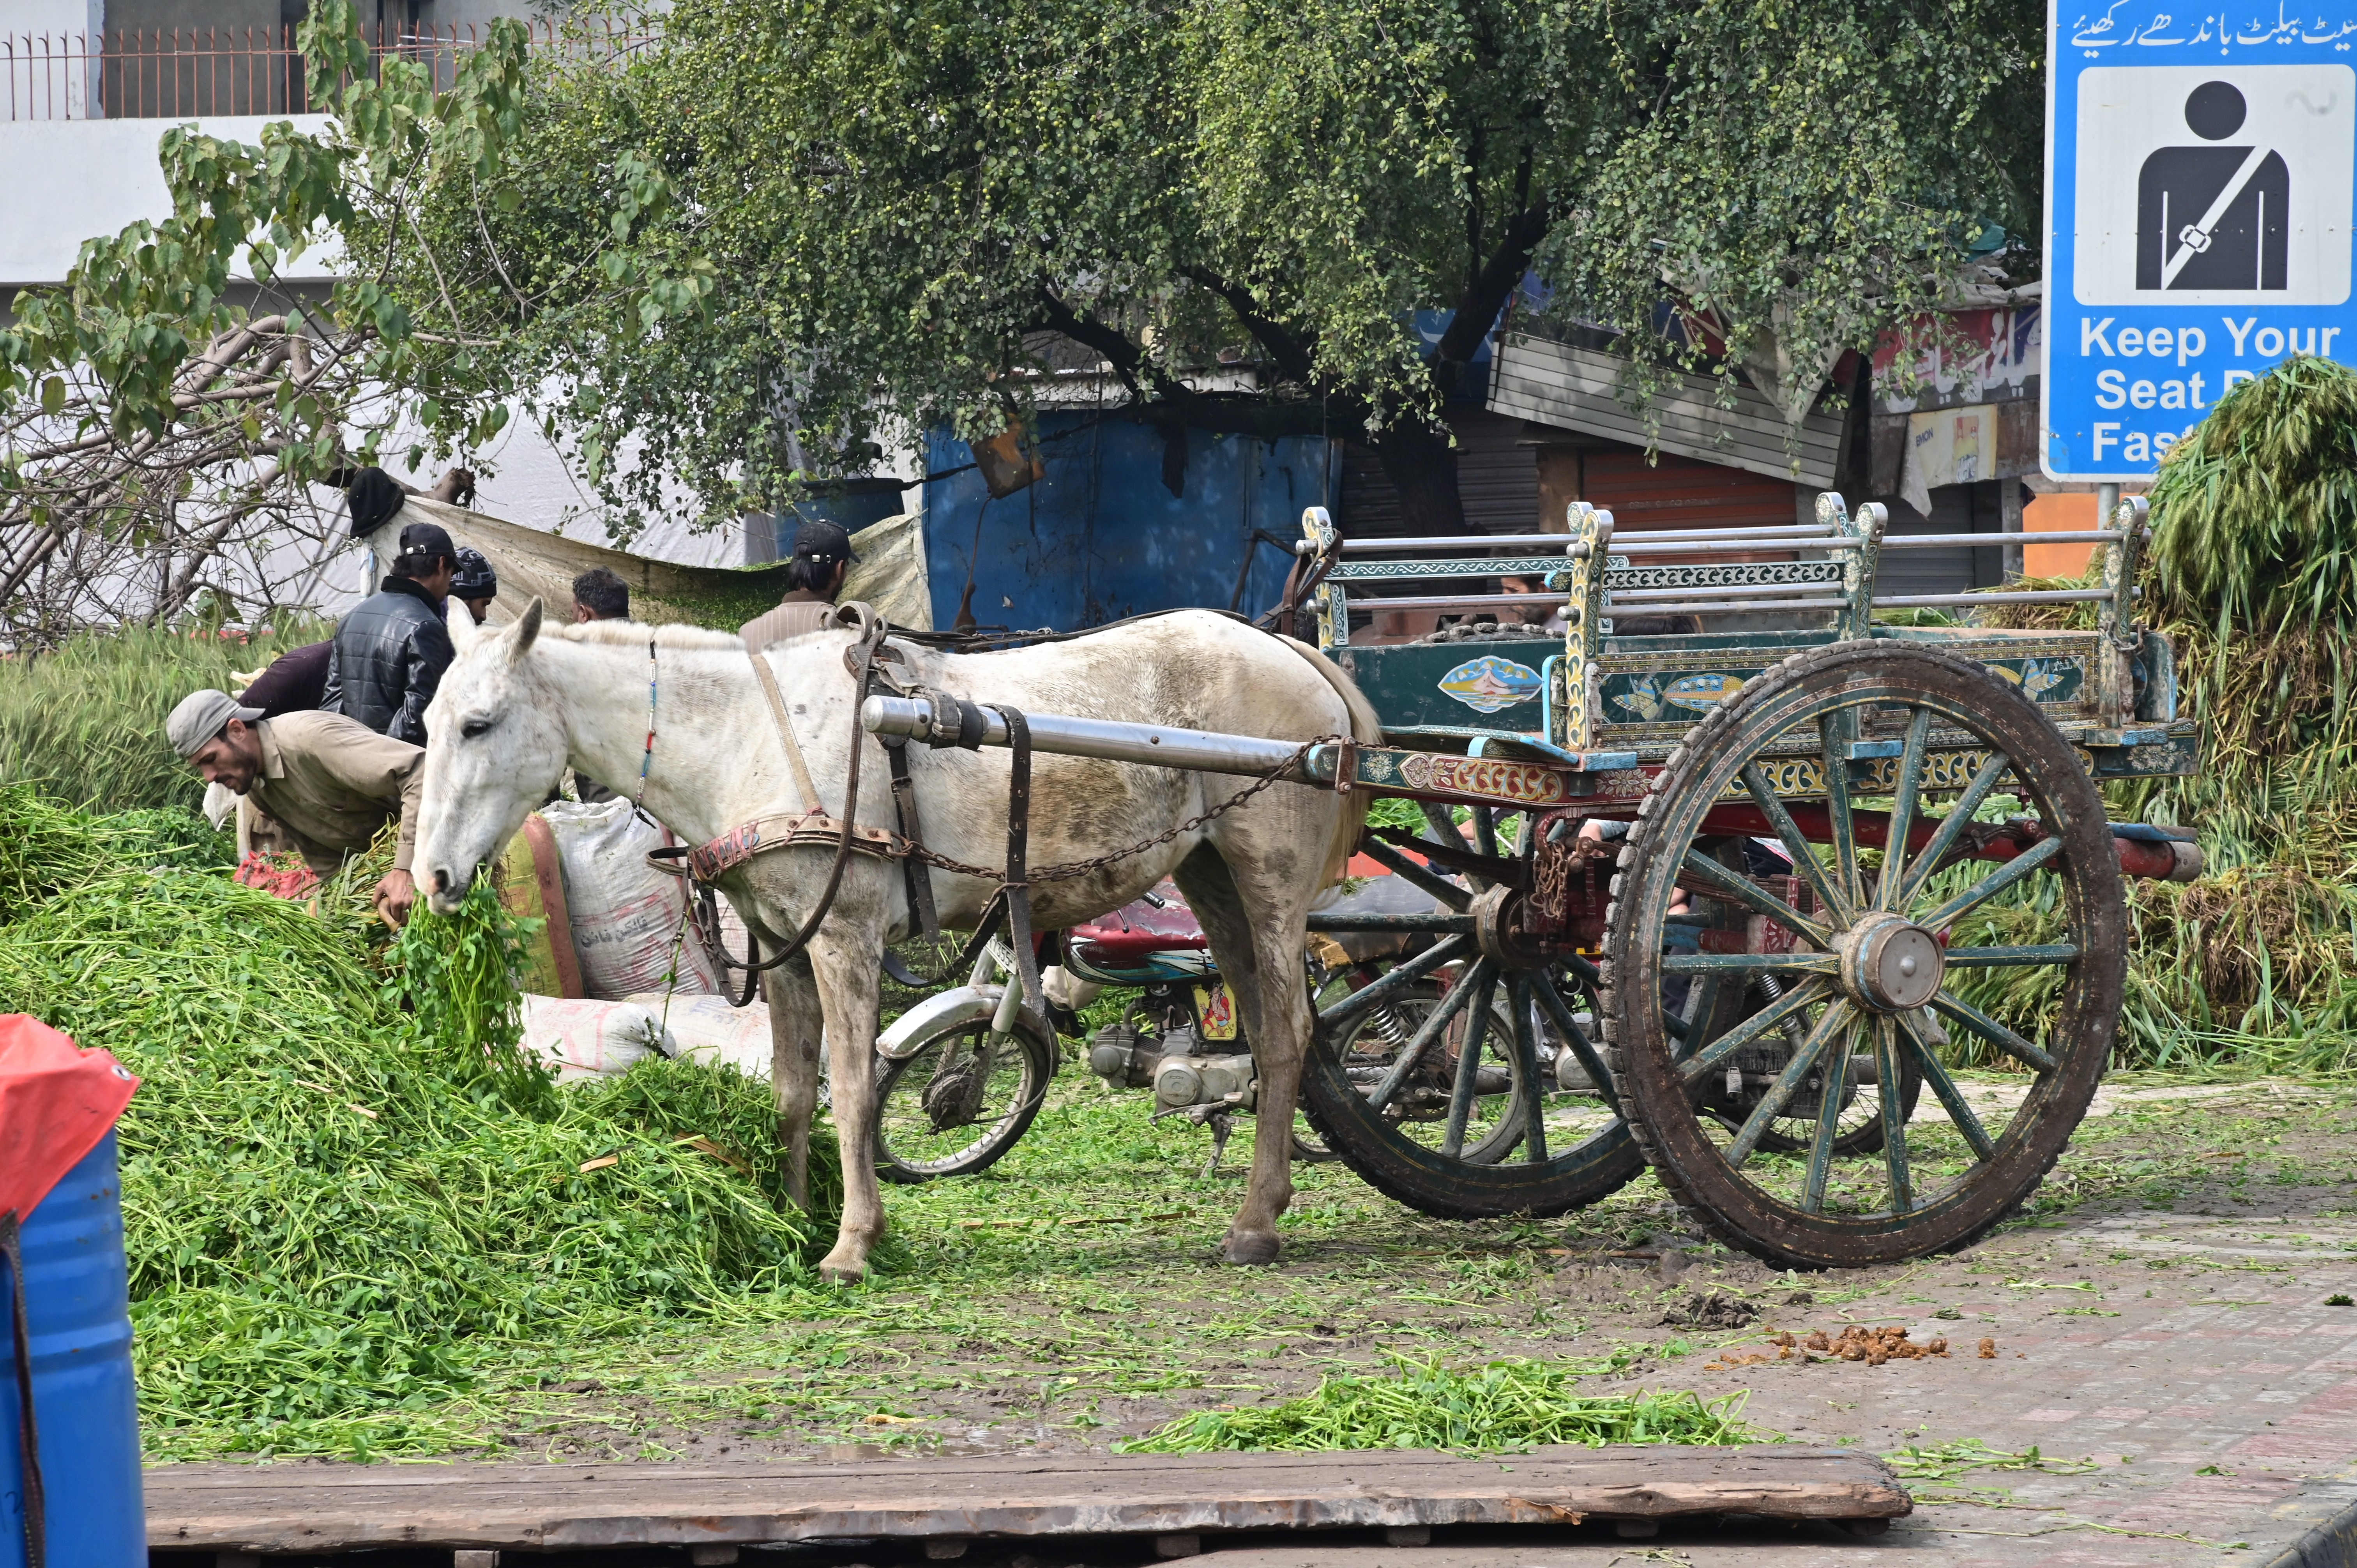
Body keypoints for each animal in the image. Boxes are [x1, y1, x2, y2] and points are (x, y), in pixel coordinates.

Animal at [412, 602, 1380, 1282]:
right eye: (427, 722)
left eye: (479, 723)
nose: (433, 877)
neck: (742, 734)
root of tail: (1291, 652)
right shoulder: (785, 945)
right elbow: (792, 1093)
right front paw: (792, 1217)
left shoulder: (843, 937)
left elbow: (850, 1087)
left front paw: (853, 1240)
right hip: (1211, 877)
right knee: (1260, 1025)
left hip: (1269, 882)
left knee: (1288, 1034)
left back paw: (1256, 1223)